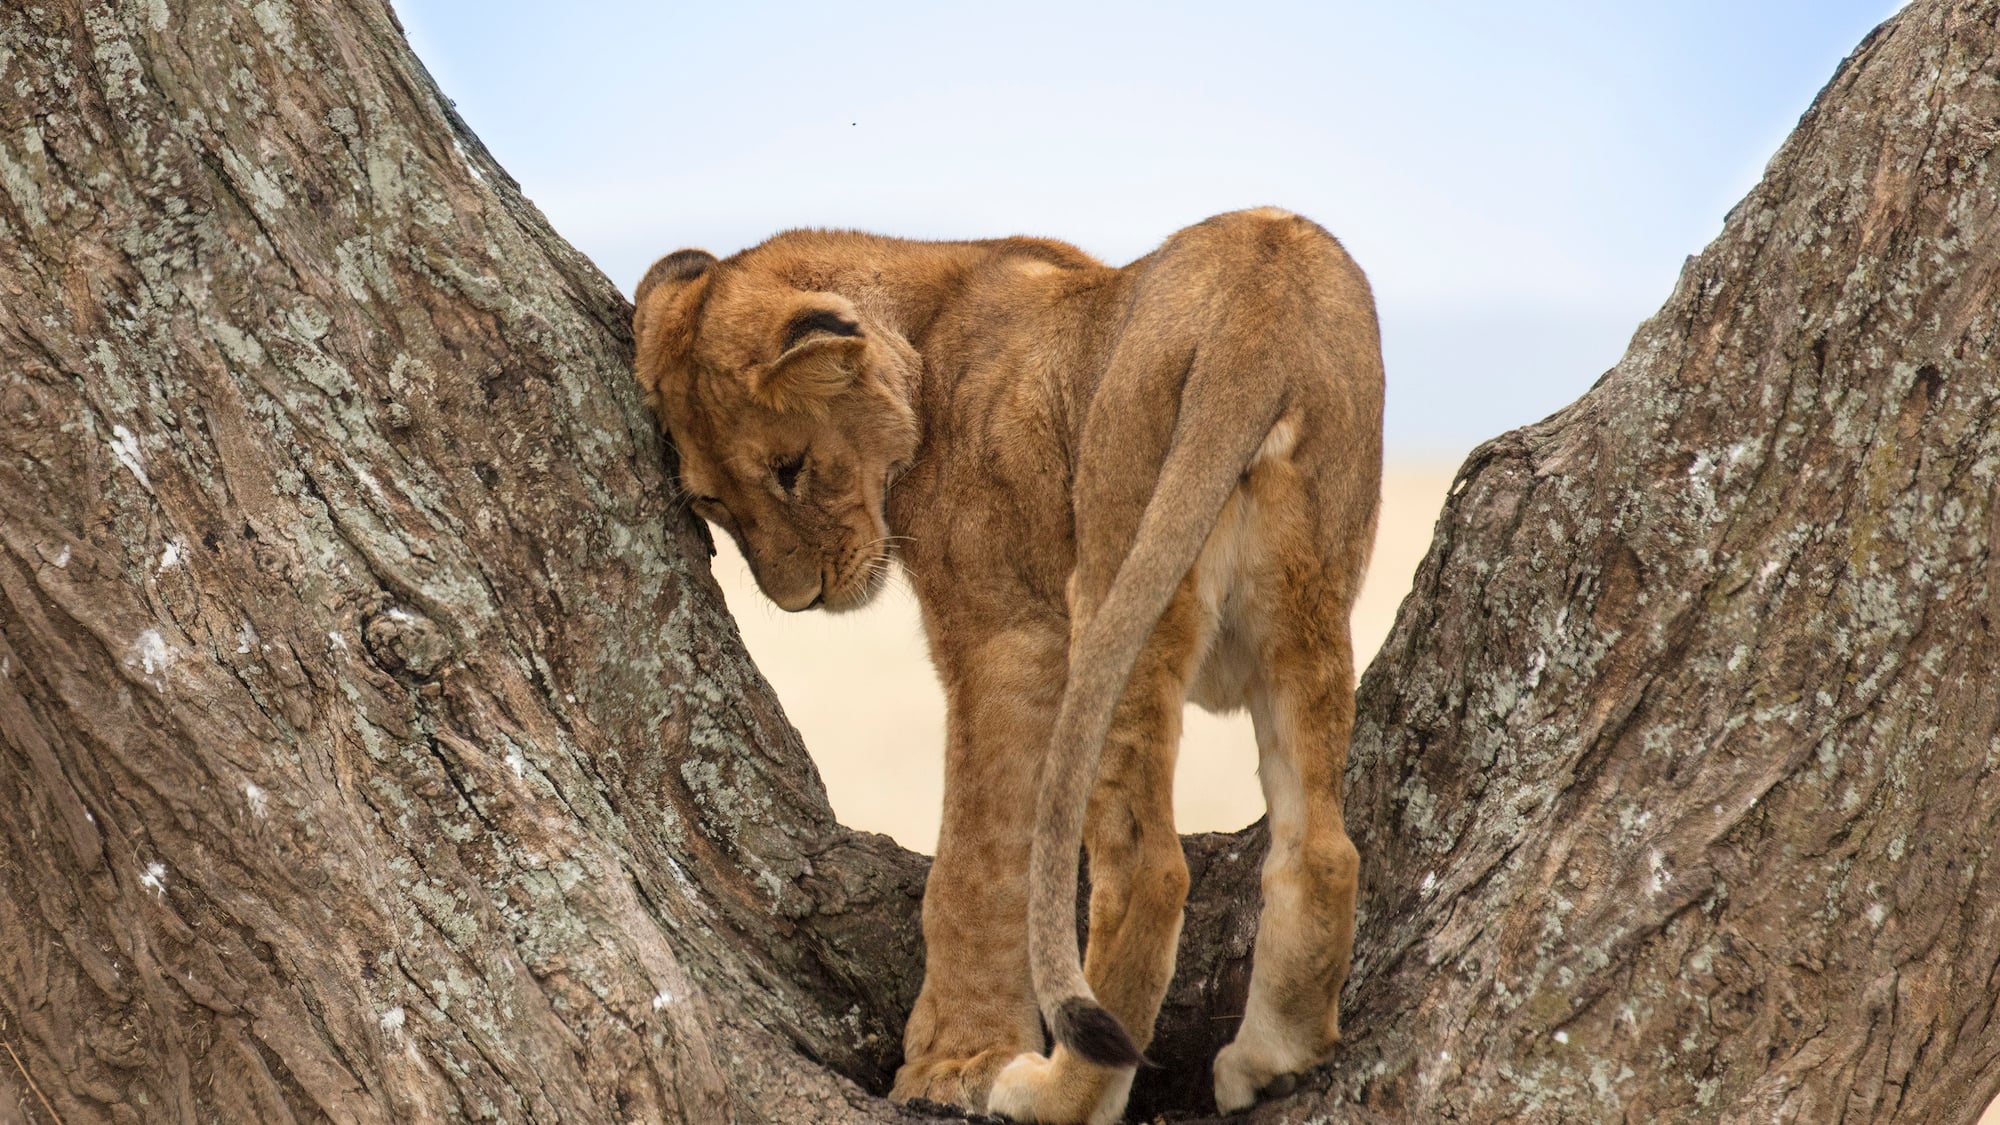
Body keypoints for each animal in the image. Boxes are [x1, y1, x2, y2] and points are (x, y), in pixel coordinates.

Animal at [632, 209, 1382, 1124]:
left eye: (791, 469)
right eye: (711, 501)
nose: (797, 600)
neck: (929, 316)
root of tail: (1259, 315)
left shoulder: (1009, 635)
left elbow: (976, 862)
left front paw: (952, 1063)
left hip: (1112, 576)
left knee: (1148, 871)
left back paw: (1051, 1093)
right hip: (1306, 597)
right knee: (1323, 847)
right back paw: (1274, 1059)